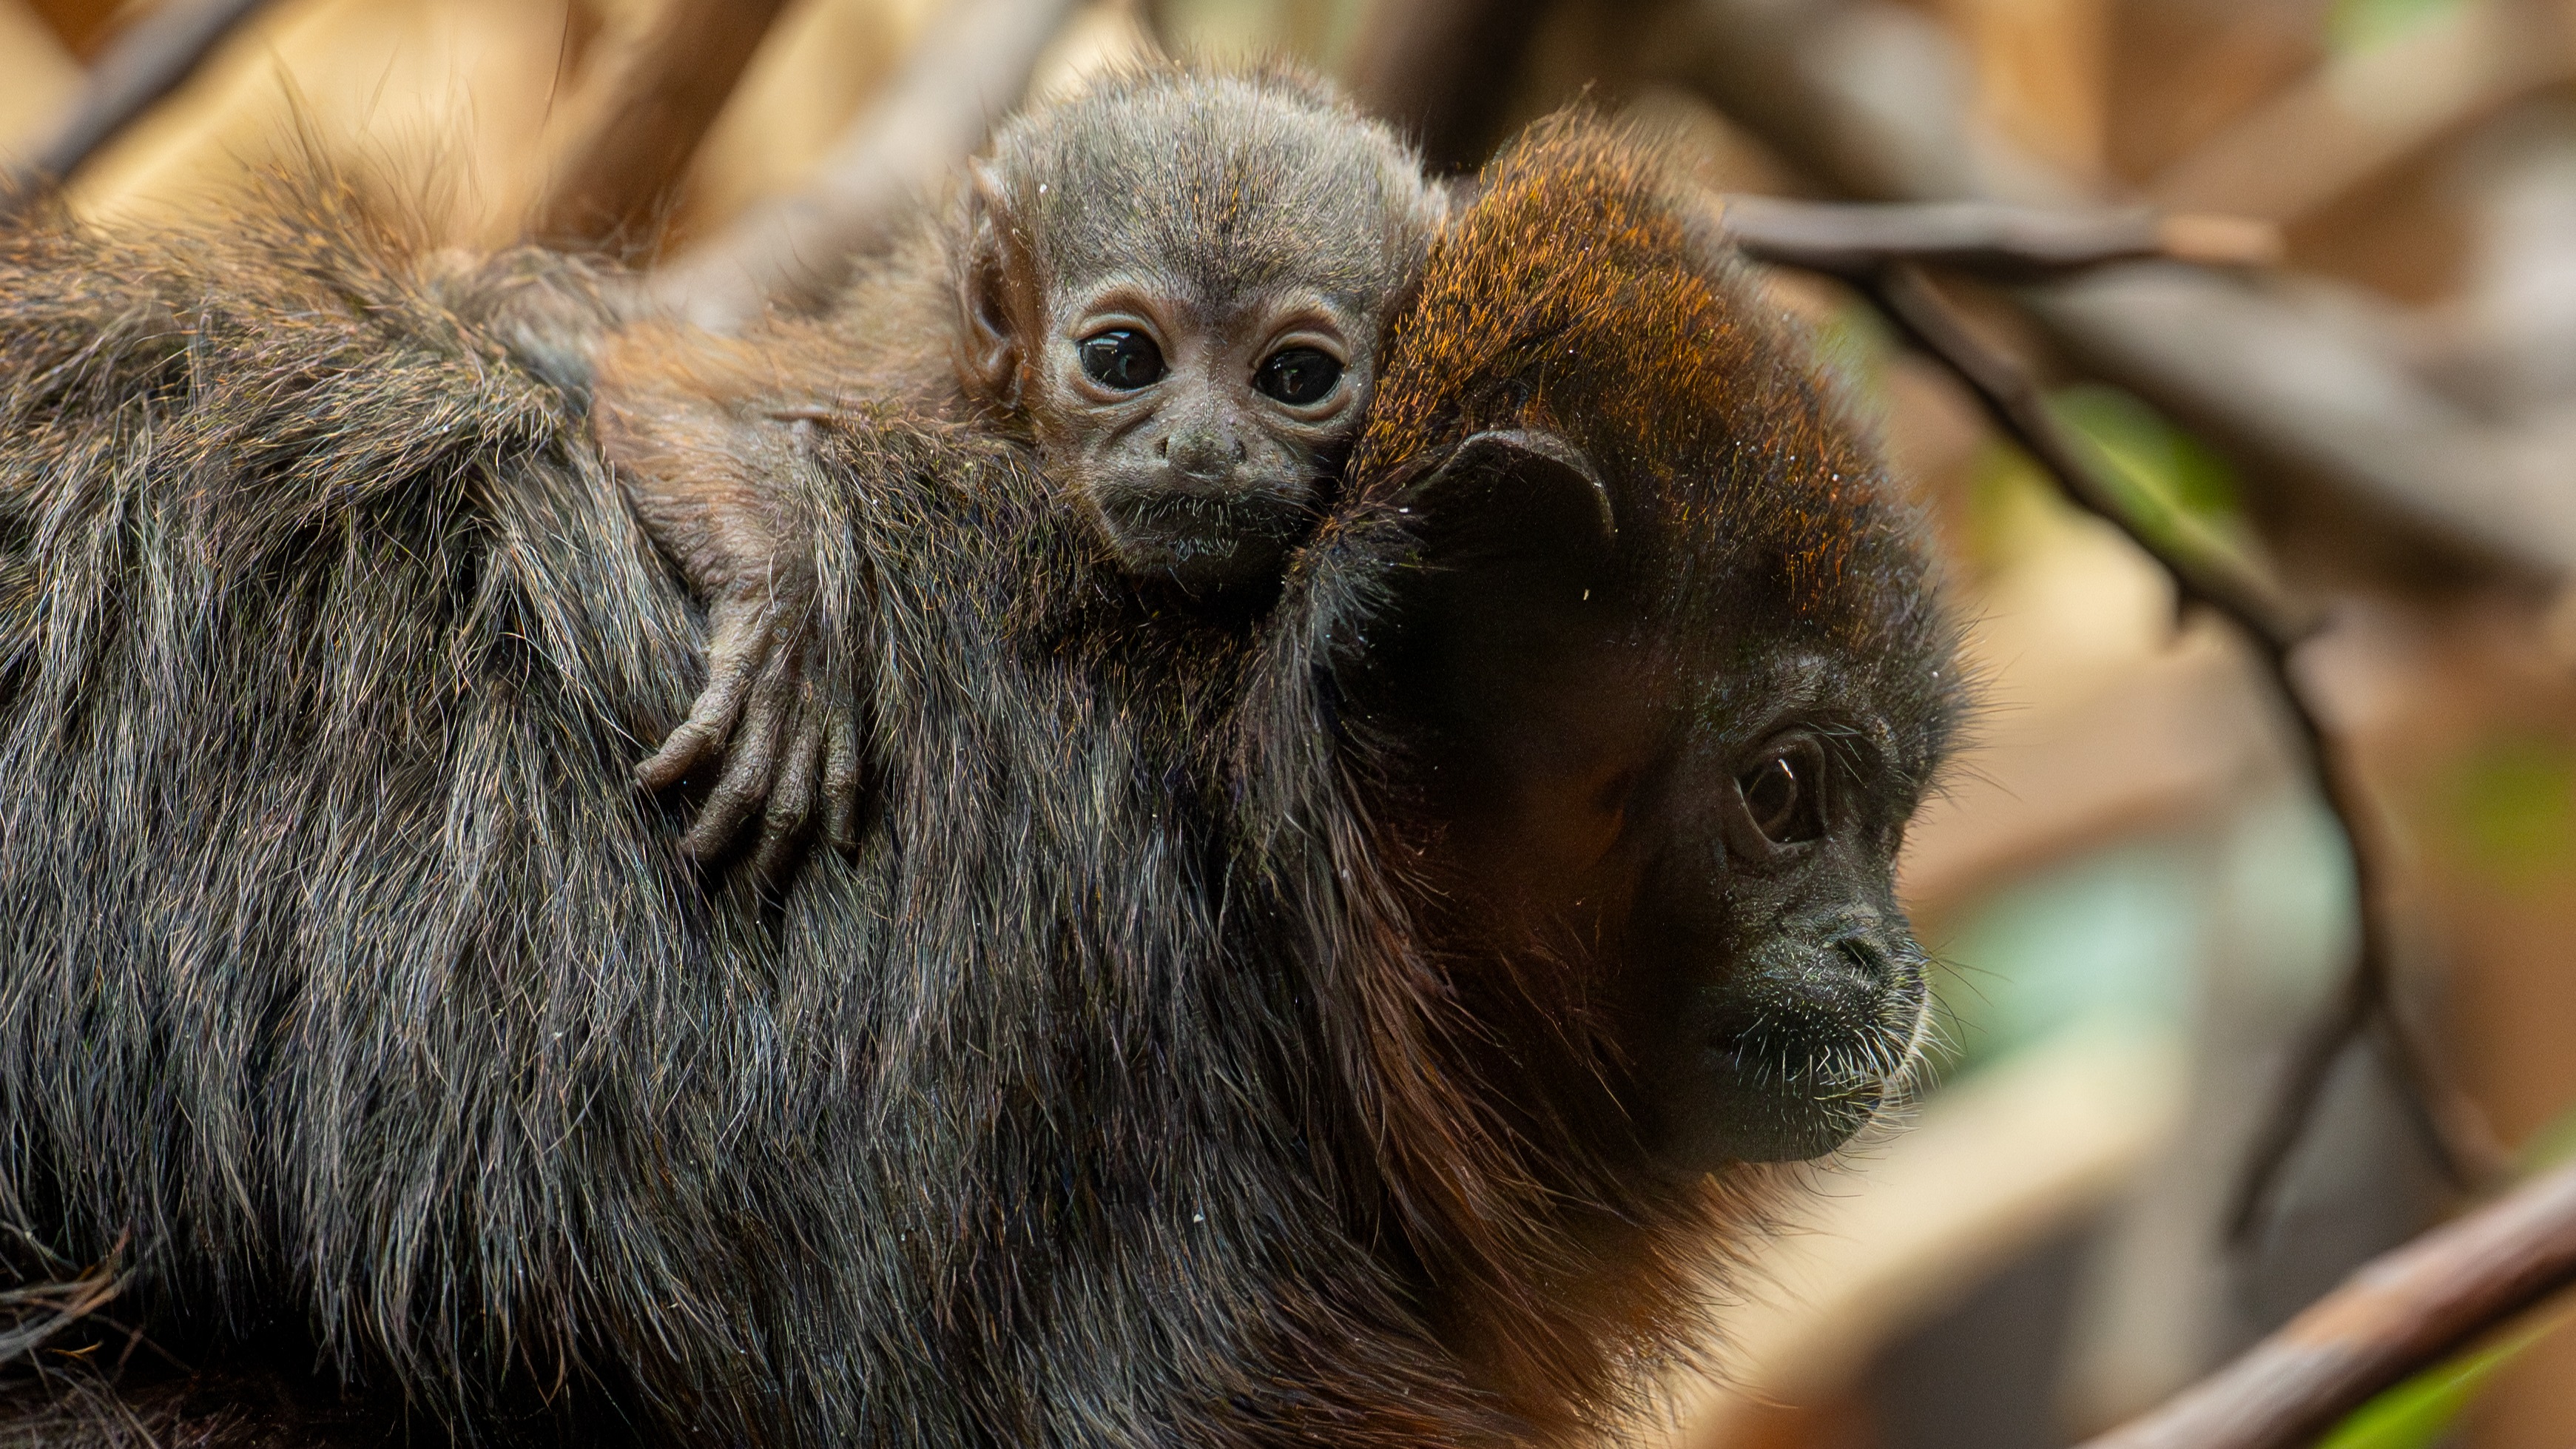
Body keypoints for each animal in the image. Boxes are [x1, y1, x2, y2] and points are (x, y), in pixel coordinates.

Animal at [590, 65, 1447, 867]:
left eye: (1296, 376)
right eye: (1123, 358)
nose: (1203, 447)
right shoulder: (909, 363)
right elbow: (660, 384)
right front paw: (790, 622)